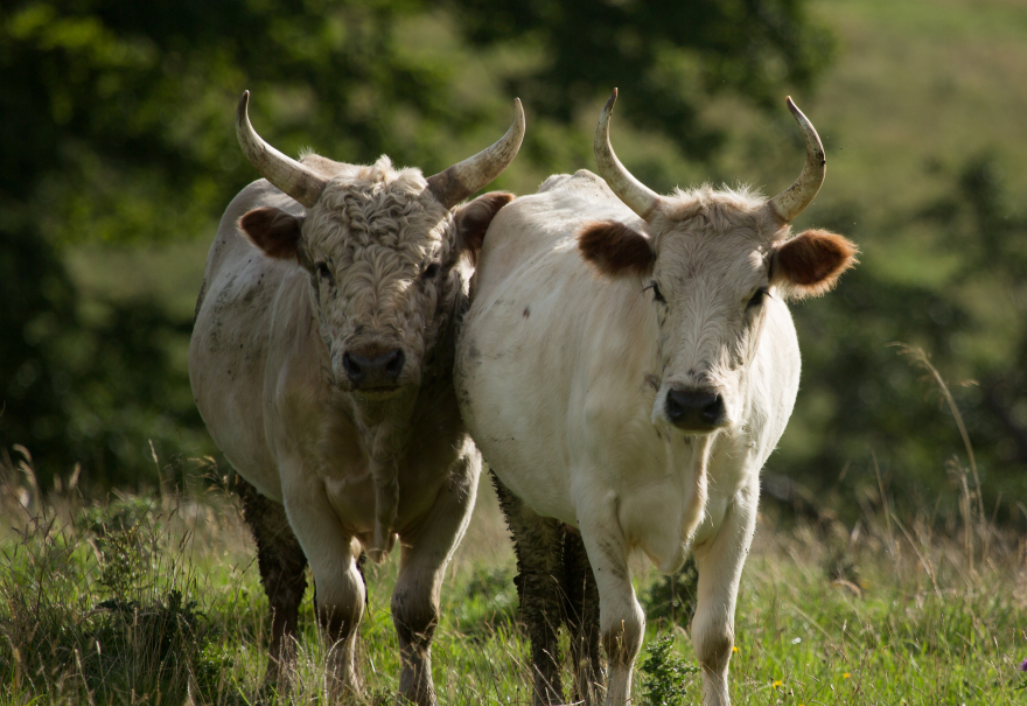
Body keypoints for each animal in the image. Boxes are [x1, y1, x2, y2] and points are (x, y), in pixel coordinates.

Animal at [187, 90, 521, 702]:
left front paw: (416, 693)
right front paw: (341, 692)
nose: (372, 360)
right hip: (259, 489)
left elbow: (416, 608)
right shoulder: (304, 491)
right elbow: (339, 605)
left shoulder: (457, 489)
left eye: (431, 267)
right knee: (285, 585)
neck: (379, 423)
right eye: (323, 267)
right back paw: (278, 679)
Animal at [460, 90, 858, 702]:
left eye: (757, 293)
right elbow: (622, 630)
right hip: (522, 490)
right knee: (545, 595)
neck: (681, 445)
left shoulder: (741, 506)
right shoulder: (597, 502)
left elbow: (715, 636)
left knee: (579, 601)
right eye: (657, 287)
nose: (694, 402)